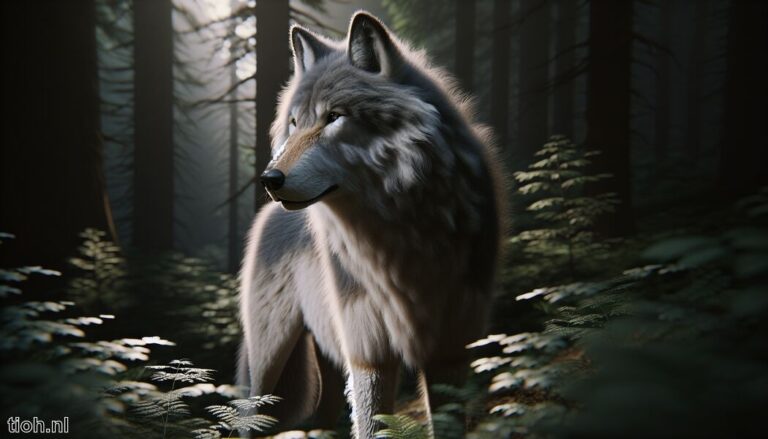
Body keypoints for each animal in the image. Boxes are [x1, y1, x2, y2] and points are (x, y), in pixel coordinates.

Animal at [238, 11, 504, 437]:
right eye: (294, 123)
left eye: (334, 117)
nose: (269, 179)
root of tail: (267, 216)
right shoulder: (369, 352)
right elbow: (373, 424)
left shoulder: (451, 348)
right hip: (269, 362)